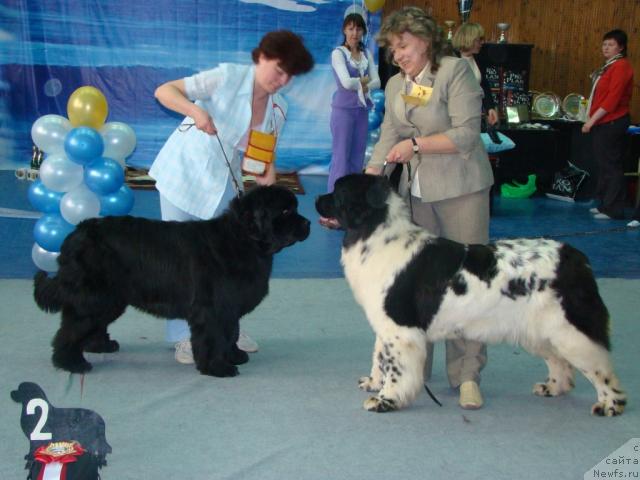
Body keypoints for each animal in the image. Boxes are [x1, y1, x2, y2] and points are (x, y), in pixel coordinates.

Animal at [35, 186, 310, 376]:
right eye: (286, 211)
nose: (307, 223)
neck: (242, 239)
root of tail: (76, 233)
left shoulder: (229, 307)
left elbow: (231, 332)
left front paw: (235, 355)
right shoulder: (212, 308)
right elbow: (214, 336)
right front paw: (217, 367)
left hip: (110, 298)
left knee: (91, 323)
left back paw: (100, 345)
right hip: (95, 296)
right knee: (71, 327)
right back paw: (71, 362)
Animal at [318, 173, 628, 416]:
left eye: (339, 191)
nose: (317, 199)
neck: (373, 233)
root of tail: (576, 258)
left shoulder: (400, 329)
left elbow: (394, 367)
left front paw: (386, 400)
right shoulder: (385, 324)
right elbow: (379, 357)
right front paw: (374, 383)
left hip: (570, 330)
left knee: (600, 366)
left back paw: (610, 405)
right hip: (540, 331)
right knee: (560, 363)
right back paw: (553, 388)